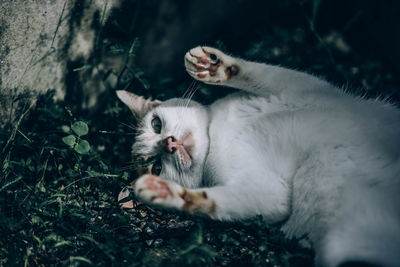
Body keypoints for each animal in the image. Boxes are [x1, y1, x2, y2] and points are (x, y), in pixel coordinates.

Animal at [115, 47, 400, 266]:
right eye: (157, 167)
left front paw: (212, 66)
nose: (169, 144)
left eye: (156, 124)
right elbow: (216, 202)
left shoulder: (308, 89)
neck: (217, 133)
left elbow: (262, 73)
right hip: (341, 242)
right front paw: (166, 192)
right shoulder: (270, 193)